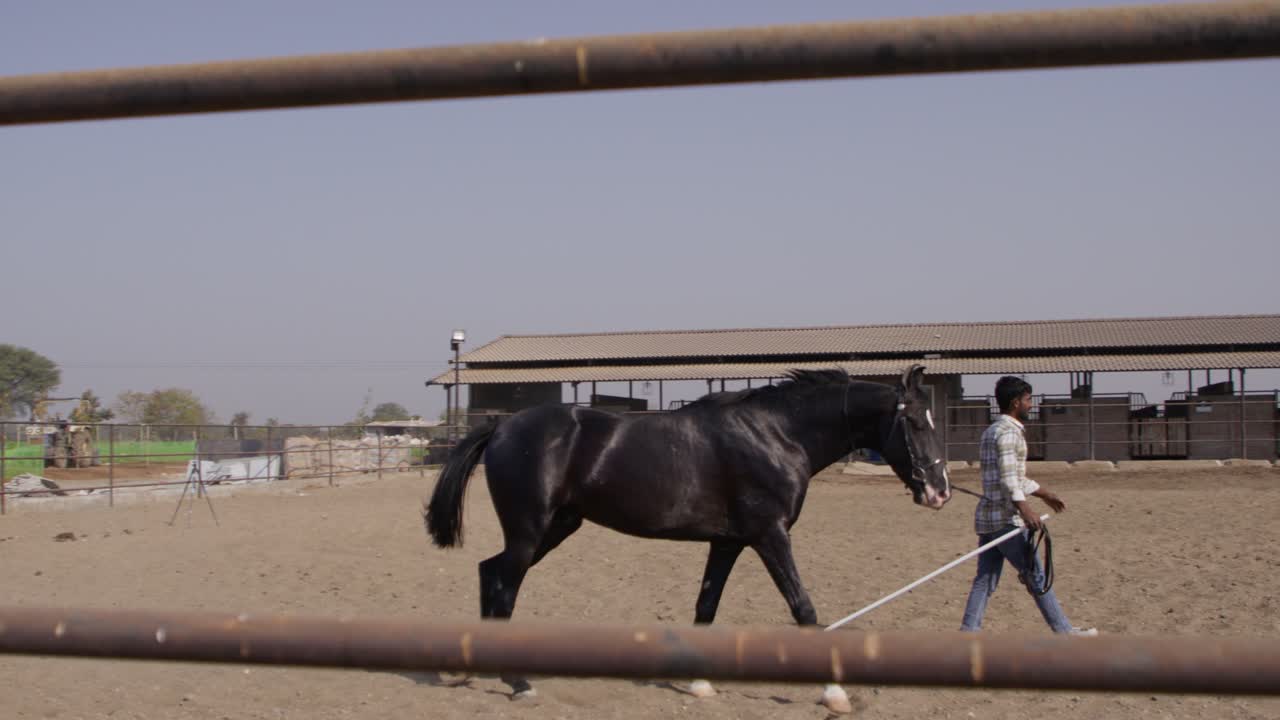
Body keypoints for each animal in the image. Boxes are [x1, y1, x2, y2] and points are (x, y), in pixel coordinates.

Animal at [424, 364, 951, 713]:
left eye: (931, 419)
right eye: (913, 421)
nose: (939, 491)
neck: (776, 435)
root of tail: (503, 426)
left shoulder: (729, 542)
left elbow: (706, 606)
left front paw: (699, 684)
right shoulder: (770, 535)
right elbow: (803, 608)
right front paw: (835, 694)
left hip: (556, 527)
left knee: (490, 572)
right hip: (531, 530)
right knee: (505, 584)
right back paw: (518, 682)